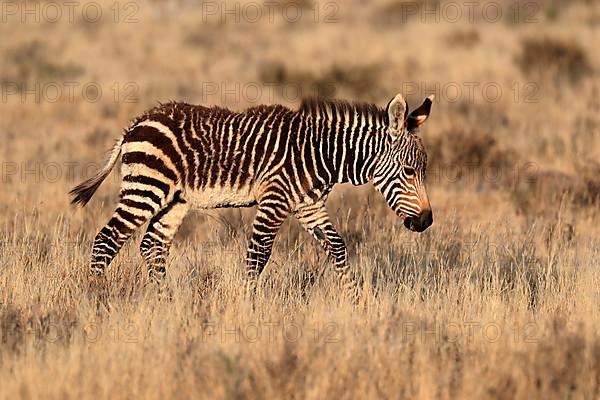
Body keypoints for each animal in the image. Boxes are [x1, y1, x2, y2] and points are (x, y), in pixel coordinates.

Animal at [71, 93, 436, 300]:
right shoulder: (275, 199)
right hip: (146, 187)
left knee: (152, 245)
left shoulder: (308, 205)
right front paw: (248, 305)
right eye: (409, 171)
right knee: (106, 240)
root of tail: (136, 122)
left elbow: (337, 248)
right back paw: (94, 299)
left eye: (423, 169)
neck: (321, 154)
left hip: (174, 199)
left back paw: (165, 302)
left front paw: (354, 301)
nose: (426, 221)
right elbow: (258, 256)